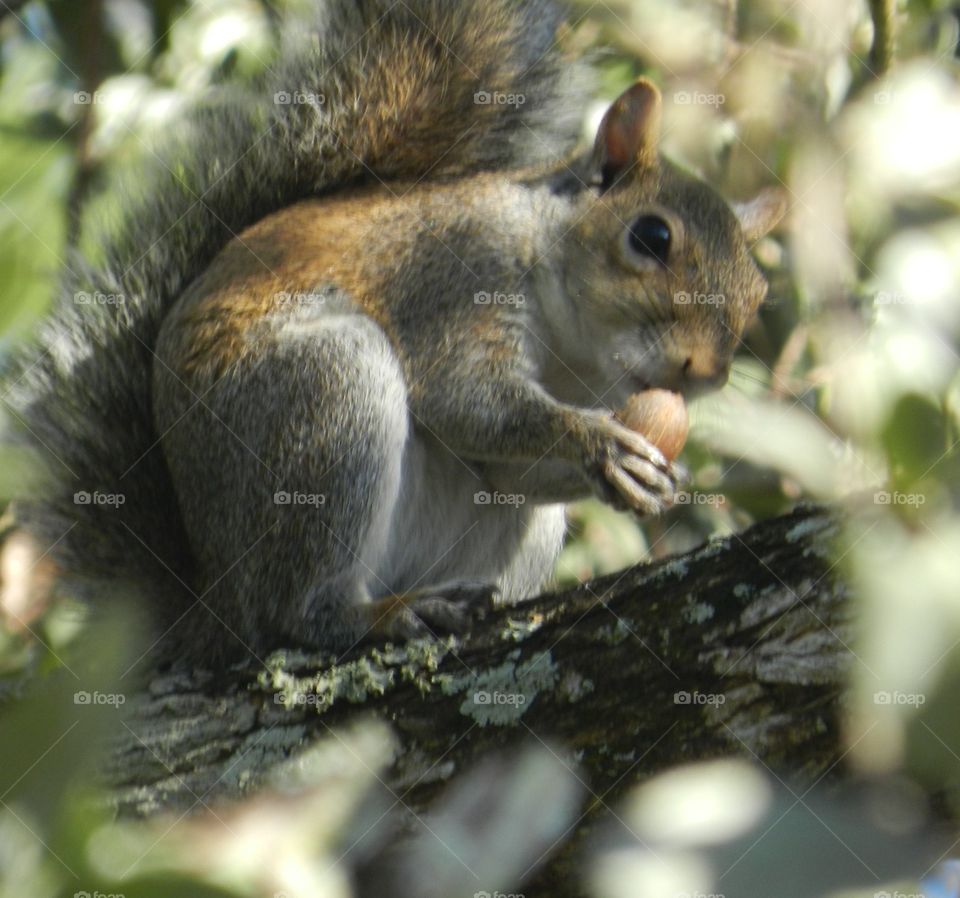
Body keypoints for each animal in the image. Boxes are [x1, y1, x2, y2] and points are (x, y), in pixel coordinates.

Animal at [5, 0, 785, 668]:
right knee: (295, 613)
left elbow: (507, 468)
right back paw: (380, 614)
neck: (576, 352)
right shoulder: (453, 280)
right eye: (651, 237)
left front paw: (653, 480)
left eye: (759, 293)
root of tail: (215, 600)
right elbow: (467, 399)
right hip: (324, 398)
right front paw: (598, 443)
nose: (703, 370)